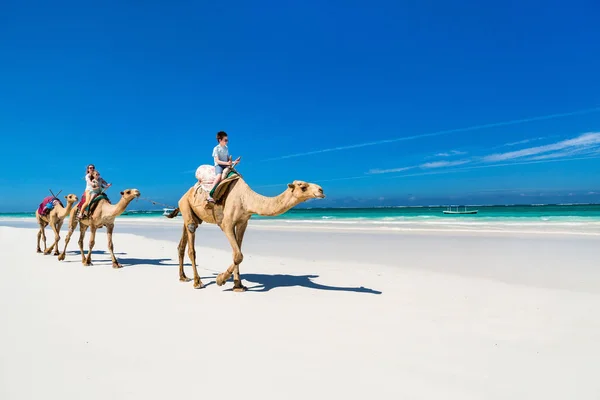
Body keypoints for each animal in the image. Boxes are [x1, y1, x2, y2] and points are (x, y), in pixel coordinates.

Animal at [166, 167, 326, 292]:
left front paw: (238, 286)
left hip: (190, 213)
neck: (246, 199)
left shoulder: (243, 222)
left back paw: (183, 277)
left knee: (183, 242)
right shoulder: (226, 223)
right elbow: (238, 255)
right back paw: (197, 282)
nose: (321, 190)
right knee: (191, 242)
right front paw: (220, 280)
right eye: (303, 186)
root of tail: (183, 196)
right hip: (185, 205)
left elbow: (238, 252)